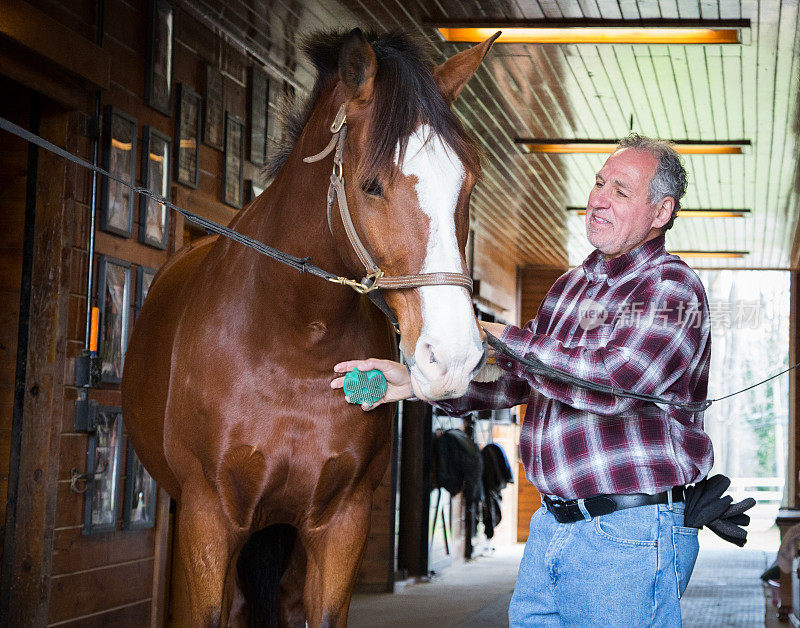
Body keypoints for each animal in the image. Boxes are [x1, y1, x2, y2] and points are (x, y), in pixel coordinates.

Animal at [122, 29, 496, 628]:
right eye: (372, 186)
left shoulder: (340, 523)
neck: (294, 337)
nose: (454, 356)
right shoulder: (208, 517)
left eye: (467, 184)